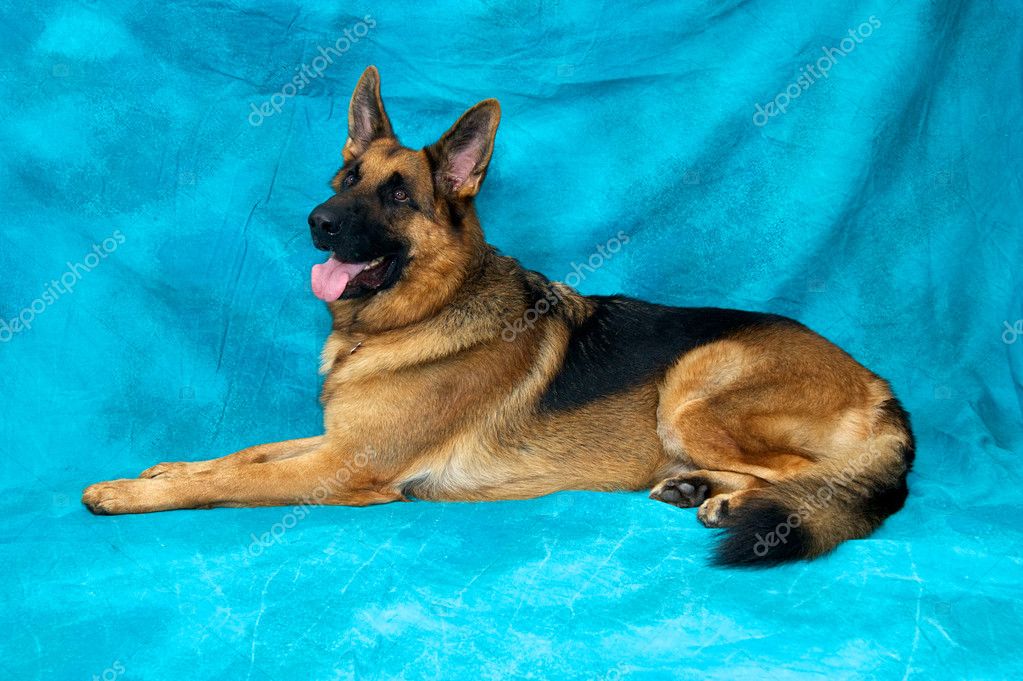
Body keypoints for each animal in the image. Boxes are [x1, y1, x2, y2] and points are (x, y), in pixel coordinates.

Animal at [81, 66, 912, 564]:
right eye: (345, 178)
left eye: (395, 196)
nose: (317, 220)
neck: (416, 315)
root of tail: (878, 385)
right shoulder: (333, 439)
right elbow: (242, 453)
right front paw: (165, 466)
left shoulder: (343, 464)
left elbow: (228, 480)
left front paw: (127, 493)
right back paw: (697, 487)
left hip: (692, 382)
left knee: (813, 476)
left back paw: (735, 498)